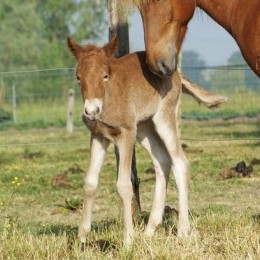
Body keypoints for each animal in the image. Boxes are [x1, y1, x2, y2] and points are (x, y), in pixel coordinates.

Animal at [68, 36, 224, 246]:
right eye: (78, 77)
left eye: (105, 75)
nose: (92, 111)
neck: (108, 98)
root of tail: (176, 74)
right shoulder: (98, 136)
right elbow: (90, 182)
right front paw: (82, 239)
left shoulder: (126, 133)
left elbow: (124, 185)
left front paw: (128, 240)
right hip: (145, 128)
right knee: (162, 161)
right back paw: (150, 230)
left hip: (162, 119)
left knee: (180, 162)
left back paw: (183, 230)